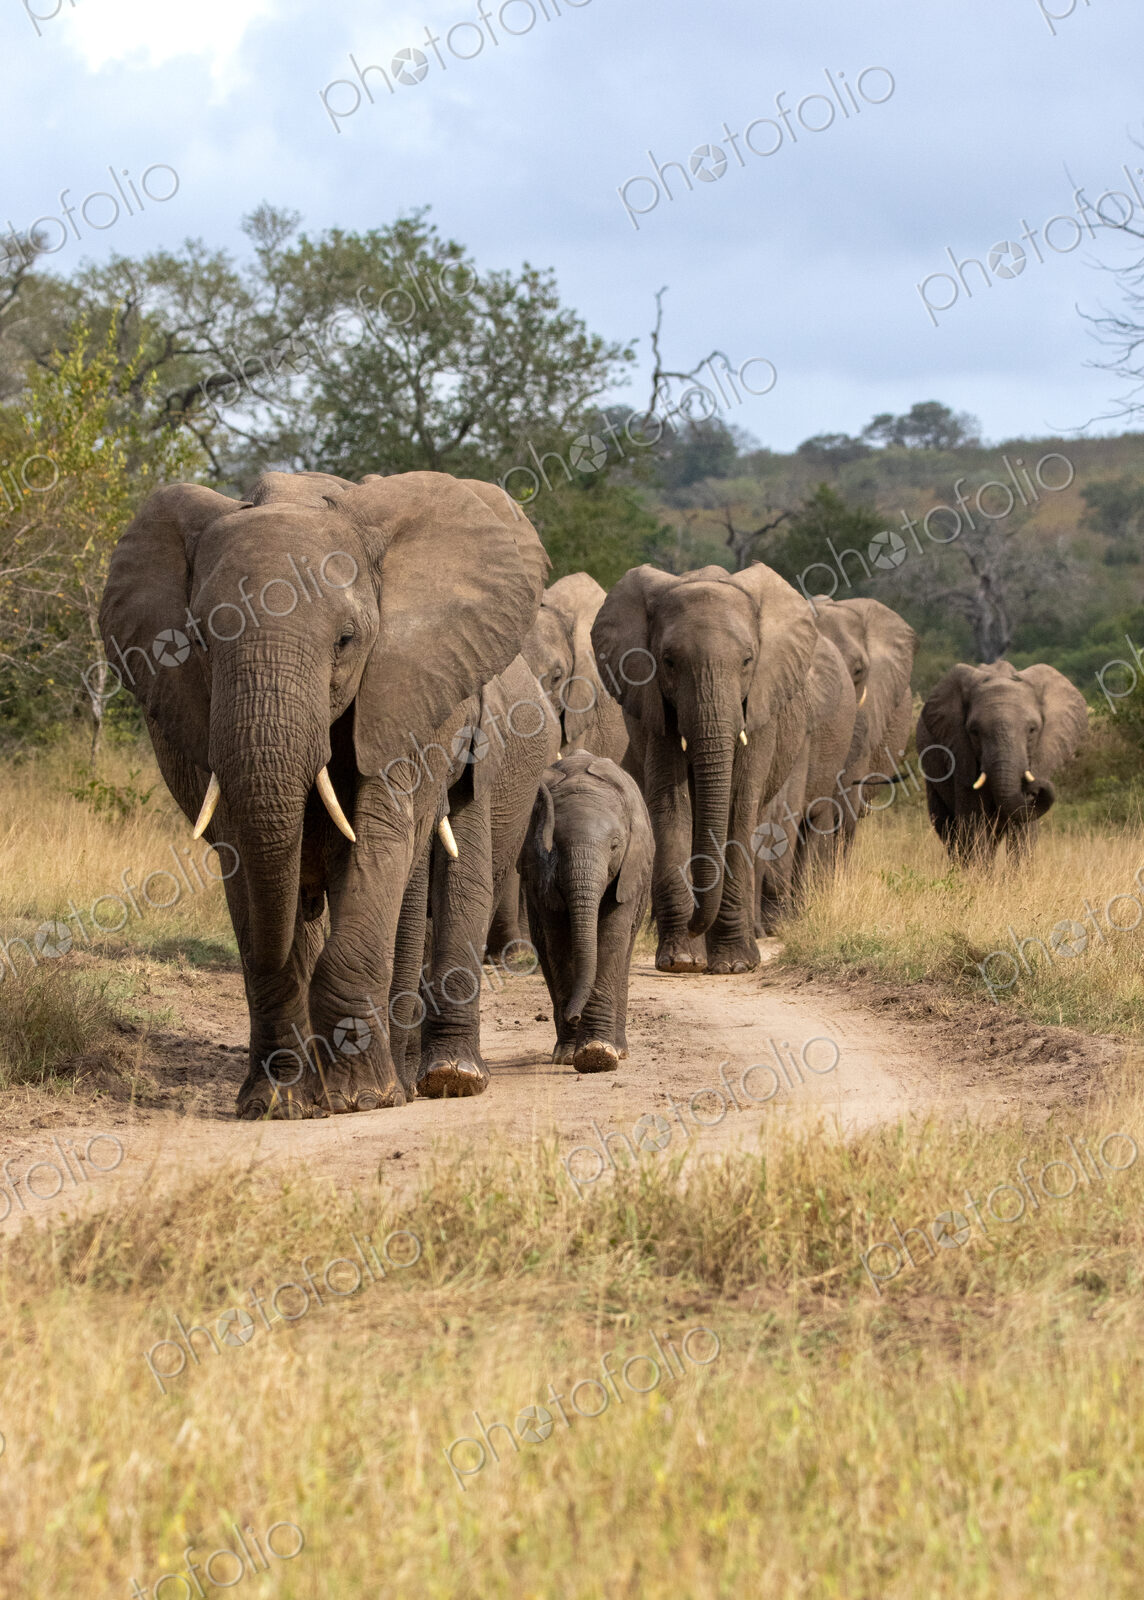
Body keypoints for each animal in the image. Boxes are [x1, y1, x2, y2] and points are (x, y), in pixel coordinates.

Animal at [99, 469, 549, 1118]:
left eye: (345, 640)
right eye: (201, 641)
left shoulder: (406, 705)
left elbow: (382, 845)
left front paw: (366, 1098)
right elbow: (245, 860)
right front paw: (275, 1105)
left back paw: (439, 1079)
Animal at [520, 749, 652, 1073]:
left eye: (615, 846)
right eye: (553, 847)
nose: (574, 1015)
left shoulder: (629, 870)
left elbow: (611, 939)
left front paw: (598, 1053)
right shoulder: (540, 875)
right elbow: (559, 943)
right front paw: (572, 1055)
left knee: (624, 953)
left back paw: (619, 1049)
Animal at [592, 563, 818, 975]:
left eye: (747, 661)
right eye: (668, 661)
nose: (697, 923)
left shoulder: (760, 708)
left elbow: (738, 804)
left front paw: (734, 965)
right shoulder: (654, 708)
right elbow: (672, 804)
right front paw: (681, 961)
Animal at [915, 659, 1088, 863]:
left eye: (1032, 730)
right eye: (974, 732)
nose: (1035, 787)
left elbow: (1023, 829)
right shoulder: (961, 753)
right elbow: (974, 823)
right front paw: (978, 872)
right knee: (948, 830)